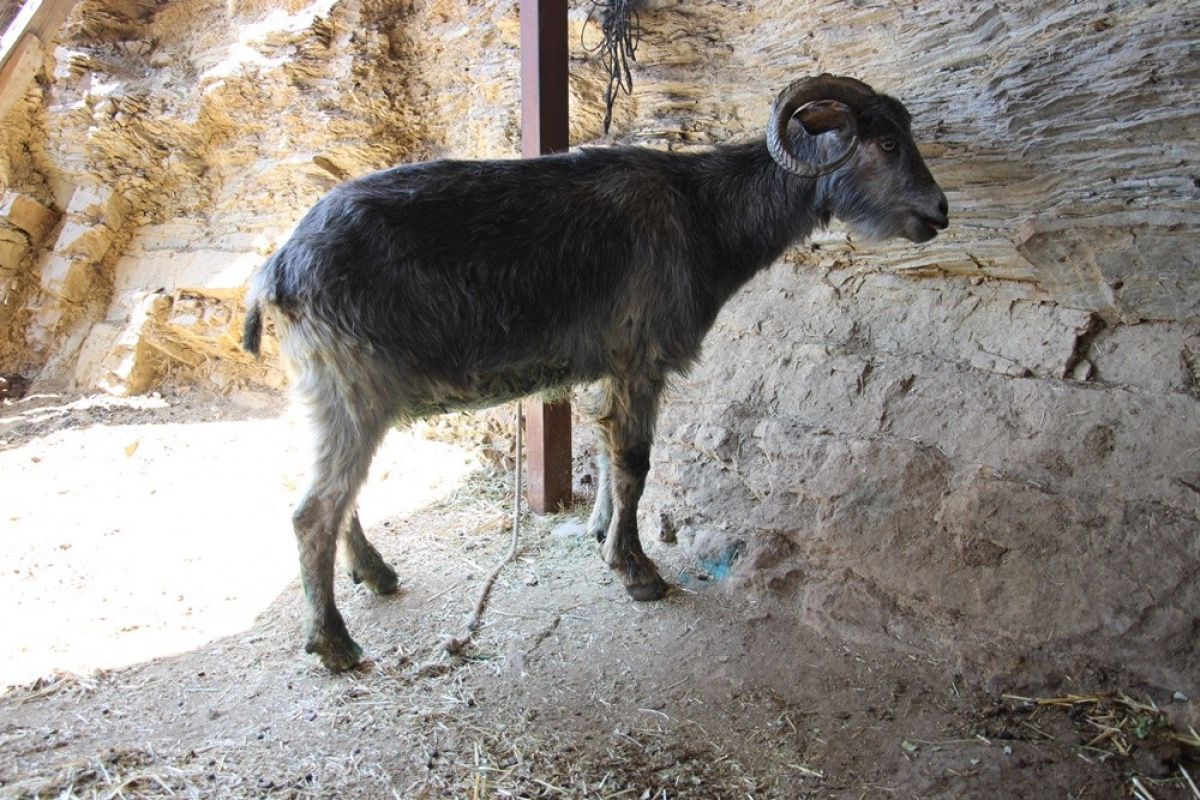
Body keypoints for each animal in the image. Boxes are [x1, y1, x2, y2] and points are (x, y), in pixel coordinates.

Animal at [241, 73, 945, 671]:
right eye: (886, 141)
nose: (938, 212)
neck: (703, 211)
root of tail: (275, 271)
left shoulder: (613, 365)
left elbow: (607, 454)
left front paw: (601, 530)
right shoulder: (641, 358)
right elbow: (634, 461)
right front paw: (636, 571)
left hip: (340, 396)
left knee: (339, 496)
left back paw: (376, 575)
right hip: (351, 387)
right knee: (313, 511)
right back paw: (335, 643)